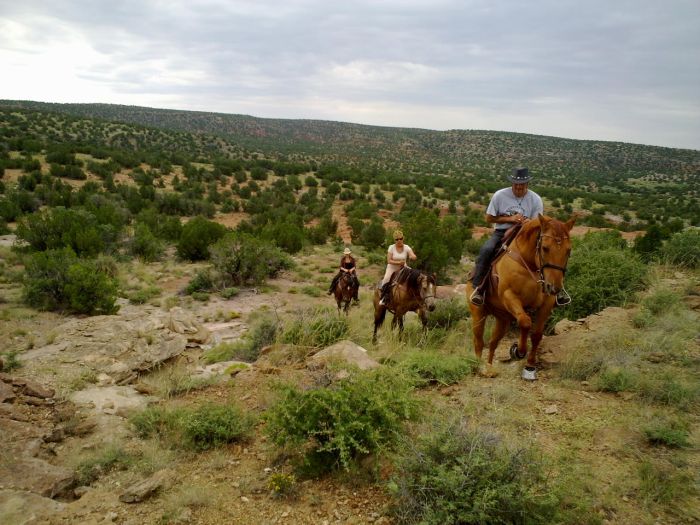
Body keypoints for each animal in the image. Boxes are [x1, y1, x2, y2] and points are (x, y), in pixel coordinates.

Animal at [464, 215, 576, 378]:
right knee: (478, 341)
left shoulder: (546, 305)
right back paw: (479, 367)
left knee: (493, 342)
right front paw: (518, 351)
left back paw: (490, 368)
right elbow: (525, 322)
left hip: (503, 320)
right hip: (479, 314)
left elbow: (536, 335)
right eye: (545, 248)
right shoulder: (510, 296)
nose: (554, 287)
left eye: (568, 250)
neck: (530, 265)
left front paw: (529, 367)